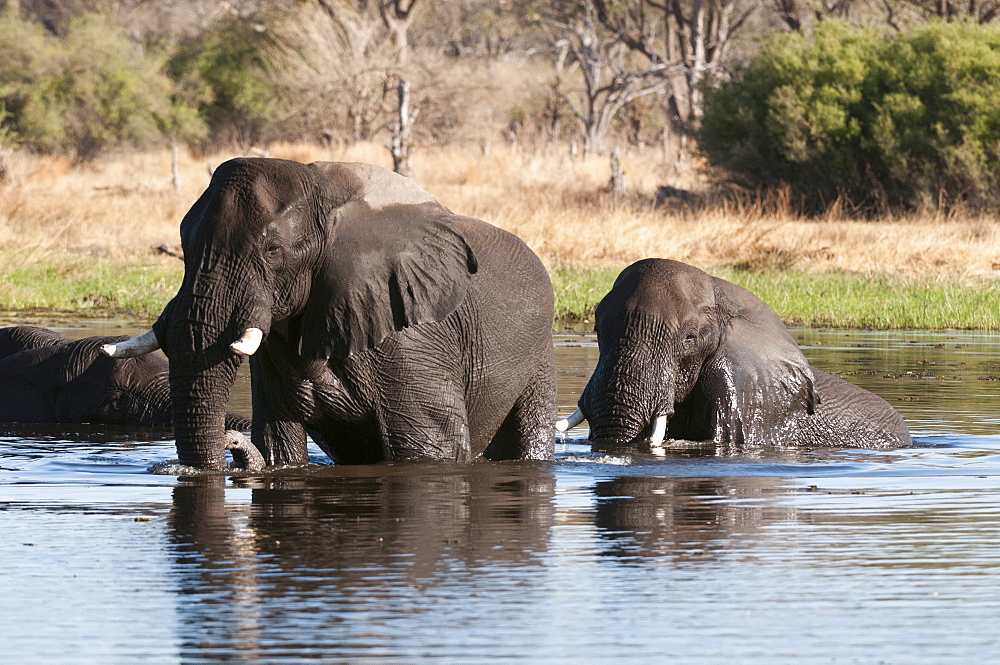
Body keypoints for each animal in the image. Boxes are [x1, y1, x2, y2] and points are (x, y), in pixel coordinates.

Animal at [106, 156, 560, 470]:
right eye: (183, 243)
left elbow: (431, 450)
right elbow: (280, 441)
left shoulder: (415, 336)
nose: (231, 442)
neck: (322, 192)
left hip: (539, 353)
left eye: (273, 250)